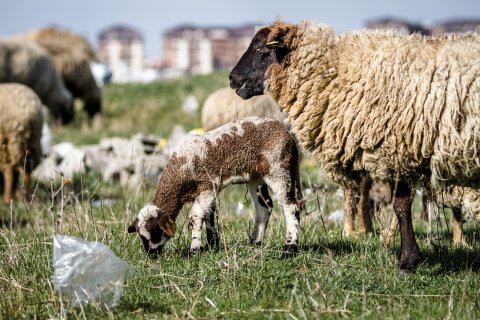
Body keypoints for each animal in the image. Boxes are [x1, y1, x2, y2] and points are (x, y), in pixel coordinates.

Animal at [125, 116, 302, 256]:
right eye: (141, 236)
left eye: (155, 232)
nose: (151, 254)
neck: (182, 166)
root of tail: (288, 135)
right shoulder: (209, 191)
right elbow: (209, 214)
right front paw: (212, 244)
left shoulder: (207, 185)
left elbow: (195, 216)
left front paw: (195, 248)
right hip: (256, 177)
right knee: (264, 207)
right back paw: (255, 242)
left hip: (277, 167)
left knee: (290, 206)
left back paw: (289, 248)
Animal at [229, 18, 480, 272]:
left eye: (260, 47)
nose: (232, 78)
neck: (338, 73)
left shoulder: (399, 151)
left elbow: (401, 207)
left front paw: (407, 260)